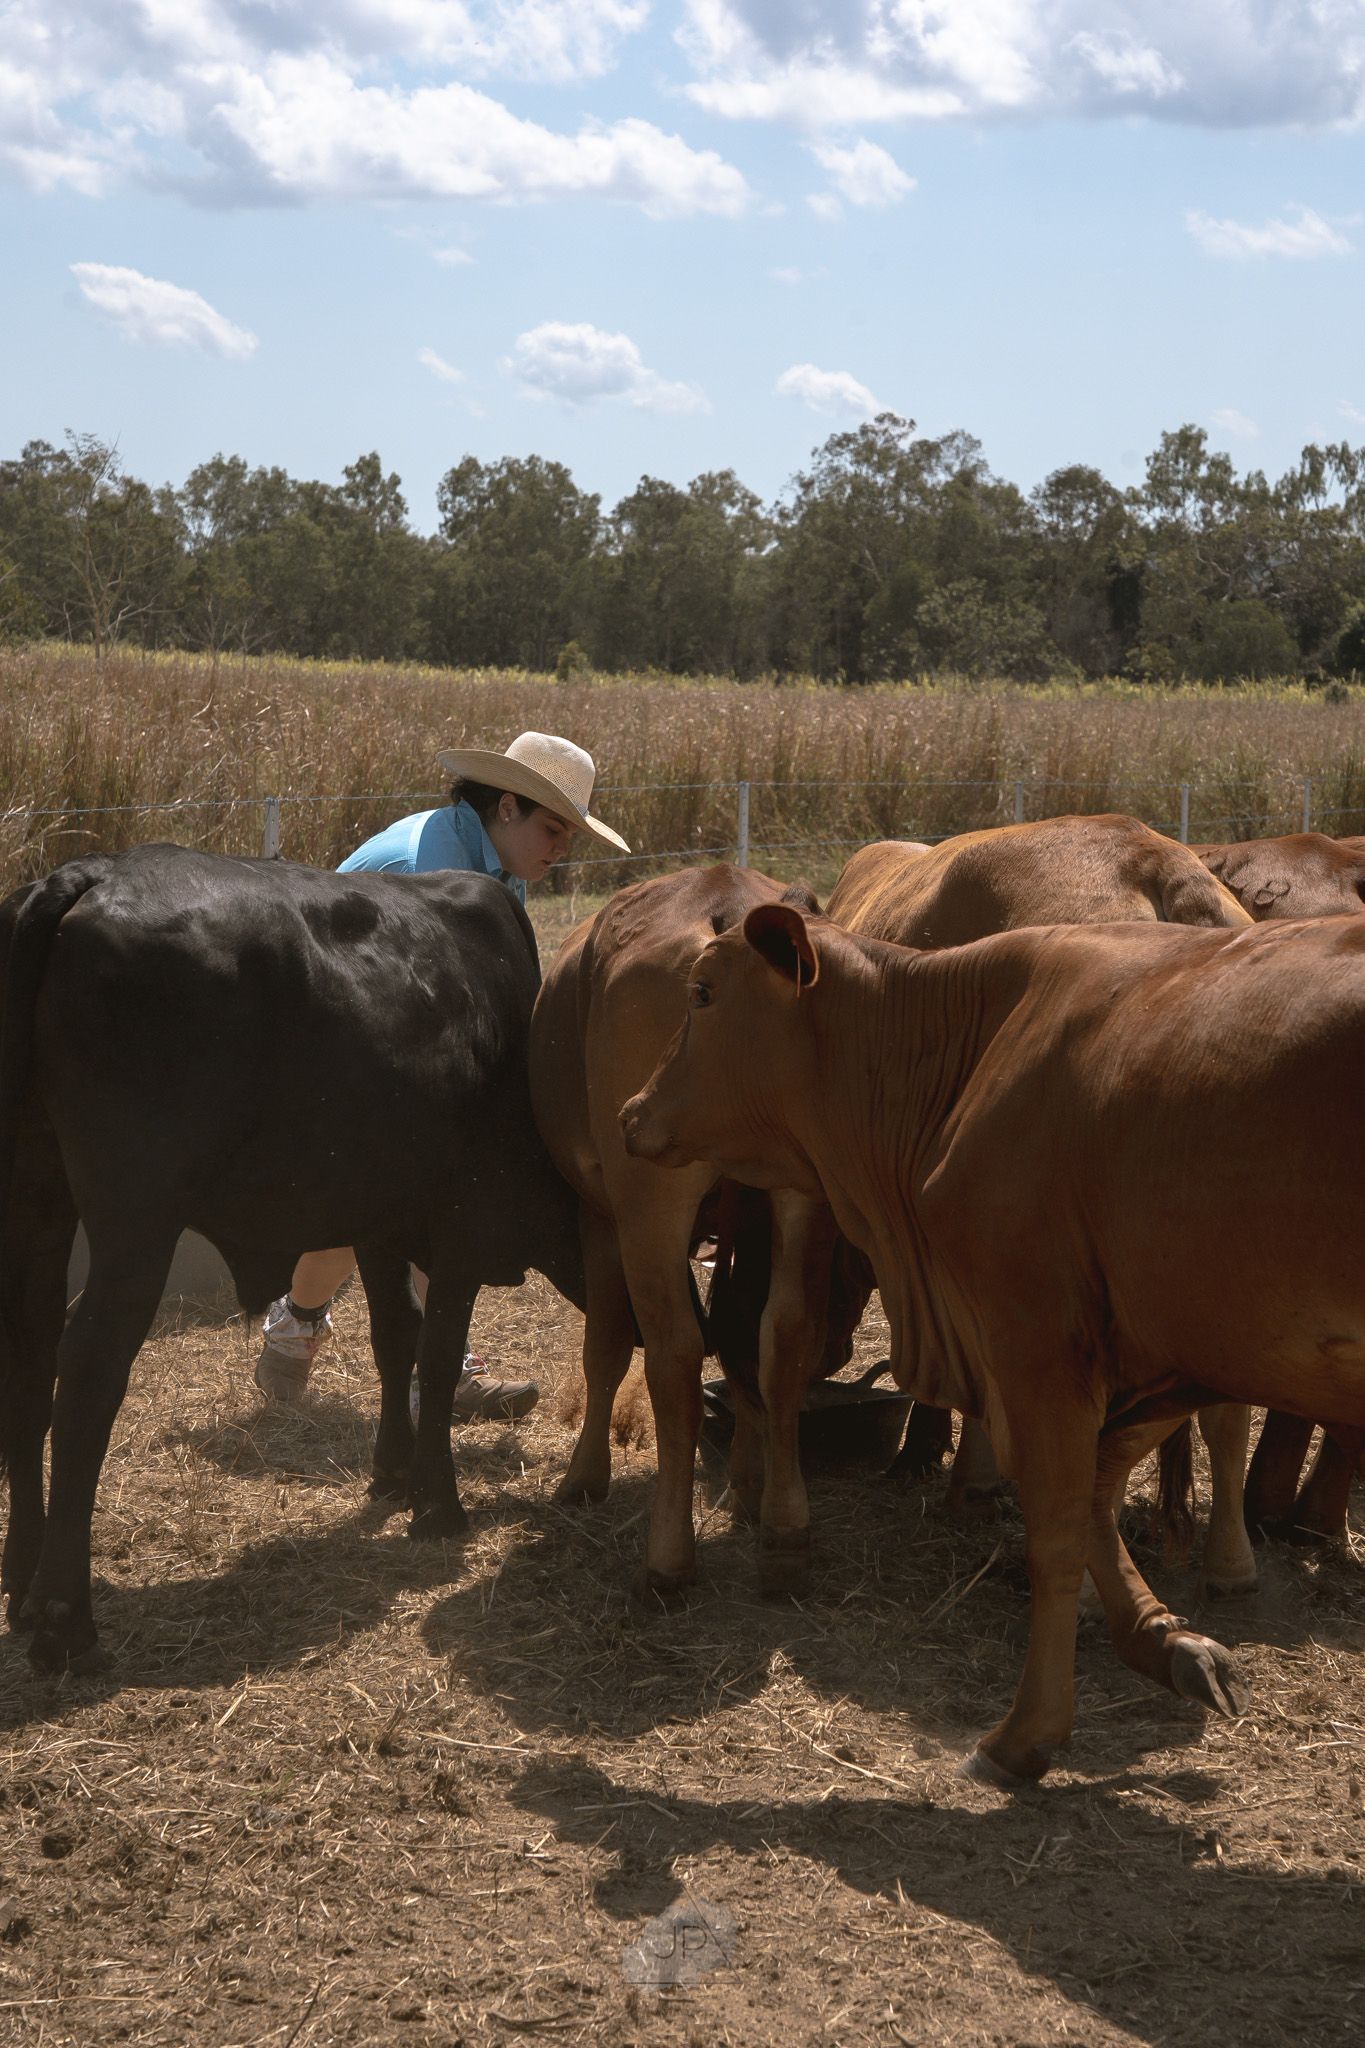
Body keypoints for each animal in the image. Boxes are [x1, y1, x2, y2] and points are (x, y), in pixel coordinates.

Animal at [0, 845, 585, 1673]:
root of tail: (92, 872)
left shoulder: (380, 1220)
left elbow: (394, 1339)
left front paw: (393, 1473)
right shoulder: (461, 1227)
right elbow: (437, 1356)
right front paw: (437, 1502)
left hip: (35, 1198)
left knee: (27, 1360)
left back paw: (20, 1582)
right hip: (135, 1222)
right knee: (84, 1371)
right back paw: (63, 1622)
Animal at [529, 863, 833, 1601]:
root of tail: (727, 898)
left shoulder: (602, 1220)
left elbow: (607, 1349)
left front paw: (584, 1475)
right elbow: (743, 1341)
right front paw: (749, 1484)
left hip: (649, 1212)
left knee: (672, 1358)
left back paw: (667, 1558)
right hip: (798, 1201)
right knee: (785, 1336)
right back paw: (786, 1532)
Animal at [622, 906, 1365, 1783]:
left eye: (702, 993)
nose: (630, 1112)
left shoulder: (1032, 1337)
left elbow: (1057, 1526)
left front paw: (1025, 1733)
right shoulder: (1161, 1344)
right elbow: (1096, 1498)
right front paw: (1164, 1644)